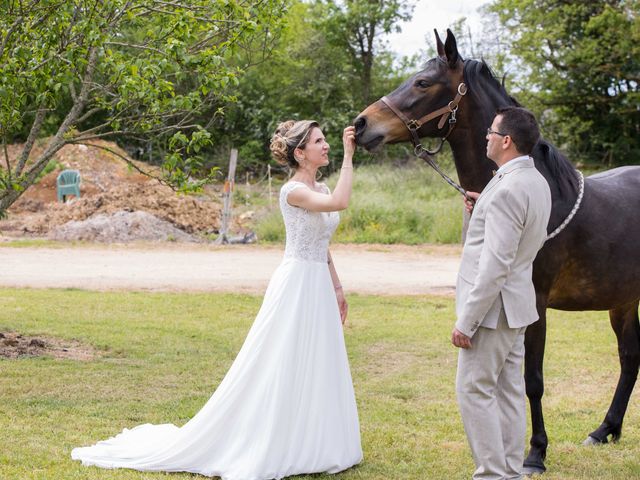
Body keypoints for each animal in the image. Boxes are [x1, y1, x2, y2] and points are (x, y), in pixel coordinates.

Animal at [352, 29, 640, 472]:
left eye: (423, 82)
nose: (362, 123)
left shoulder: (533, 303)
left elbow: (532, 380)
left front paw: (535, 453)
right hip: (622, 301)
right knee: (630, 358)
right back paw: (604, 430)